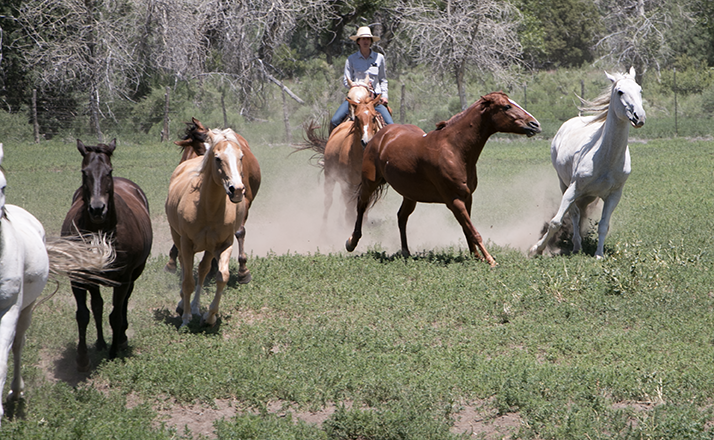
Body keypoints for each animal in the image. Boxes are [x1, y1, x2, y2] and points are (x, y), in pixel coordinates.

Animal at [60, 138, 153, 372]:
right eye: (84, 172)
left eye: (109, 171)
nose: (97, 209)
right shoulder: (79, 277)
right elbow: (83, 314)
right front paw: (82, 358)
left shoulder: (124, 278)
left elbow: (116, 316)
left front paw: (114, 352)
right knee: (97, 306)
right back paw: (101, 342)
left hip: (133, 275)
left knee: (123, 304)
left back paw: (120, 339)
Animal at [298, 93, 382, 223]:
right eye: (357, 117)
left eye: (373, 117)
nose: (366, 142)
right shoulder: (348, 184)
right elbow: (349, 211)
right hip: (330, 177)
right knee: (328, 201)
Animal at [344, 91, 540, 266]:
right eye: (506, 106)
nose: (535, 124)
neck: (454, 149)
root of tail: (377, 137)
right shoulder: (454, 201)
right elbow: (473, 231)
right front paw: (490, 260)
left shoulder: (467, 198)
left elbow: (467, 229)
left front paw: (477, 257)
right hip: (370, 183)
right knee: (361, 206)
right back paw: (351, 242)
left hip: (410, 194)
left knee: (401, 217)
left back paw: (406, 252)